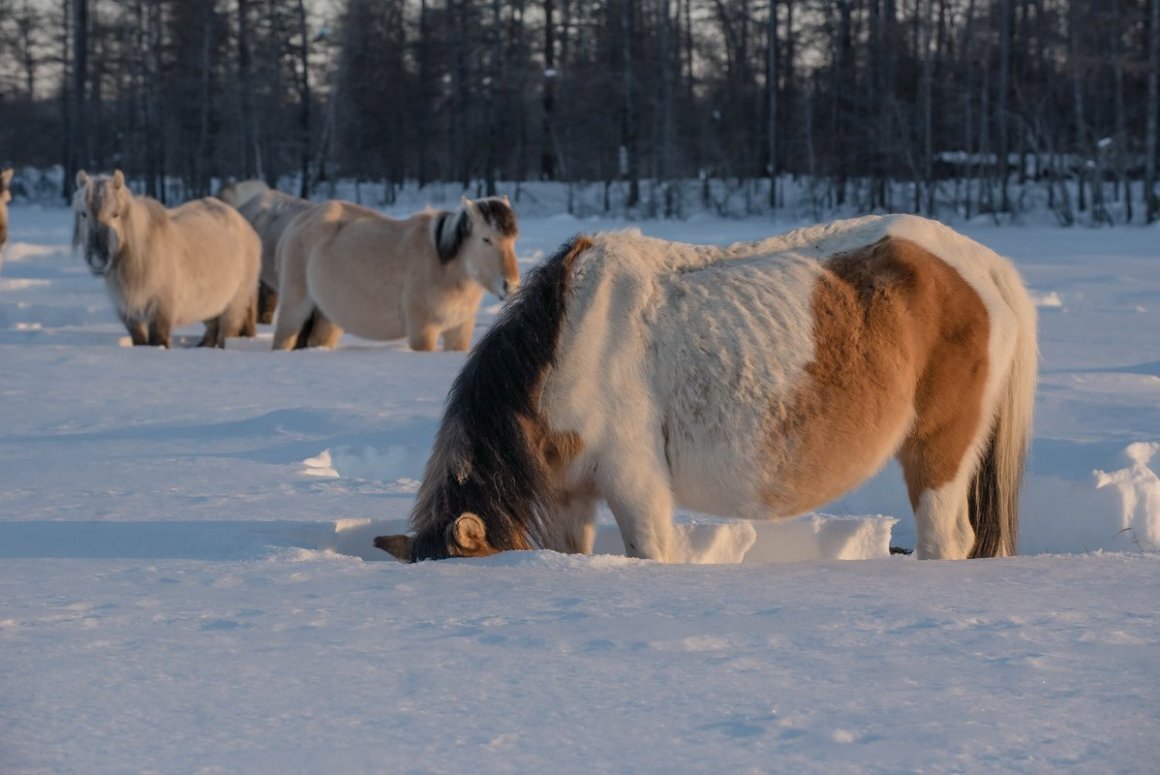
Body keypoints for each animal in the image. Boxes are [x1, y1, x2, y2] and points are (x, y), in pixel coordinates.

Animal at [78, 172, 263, 350]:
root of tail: (244, 223)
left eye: (115, 214)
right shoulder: (129, 314)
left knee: (226, 333)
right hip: (210, 303)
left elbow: (159, 340)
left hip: (233, 305)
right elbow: (139, 342)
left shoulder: (160, 311)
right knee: (212, 330)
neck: (140, 257)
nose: (97, 259)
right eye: (84, 214)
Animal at [273, 194, 519, 350]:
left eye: (513, 239)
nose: (511, 285)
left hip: (328, 316)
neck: (442, 266)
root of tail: (303, 219)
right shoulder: (423, 331)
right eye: (486, 239)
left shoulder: (459, 332)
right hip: (294, 306)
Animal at [375, 213, 1039, 563]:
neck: (567, 342)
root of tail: (986, 267)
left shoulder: (635, 482)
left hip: (939, 453)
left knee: (946, 536)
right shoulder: (570, 494)